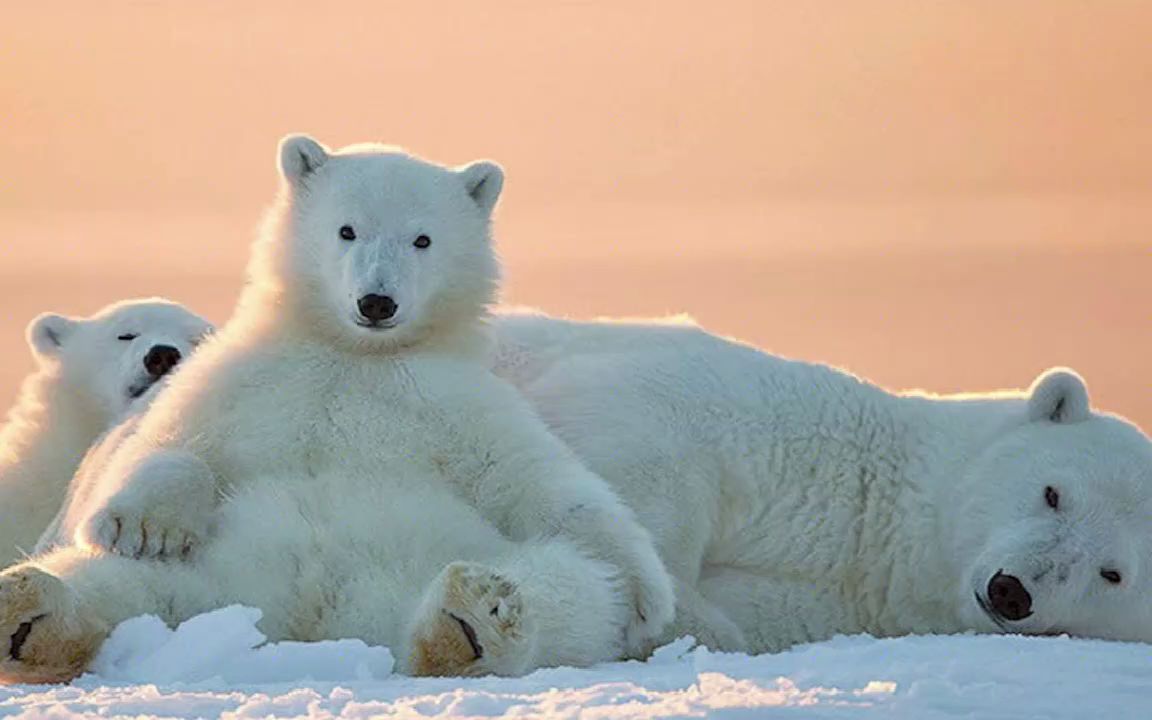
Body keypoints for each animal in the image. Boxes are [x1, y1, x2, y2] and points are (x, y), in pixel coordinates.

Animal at [490, 311, 1152, 649]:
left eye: (1112, 573)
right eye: (1053, 493)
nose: (1012, 591)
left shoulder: (837, 603)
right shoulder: (750, 406)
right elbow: (641, 438)